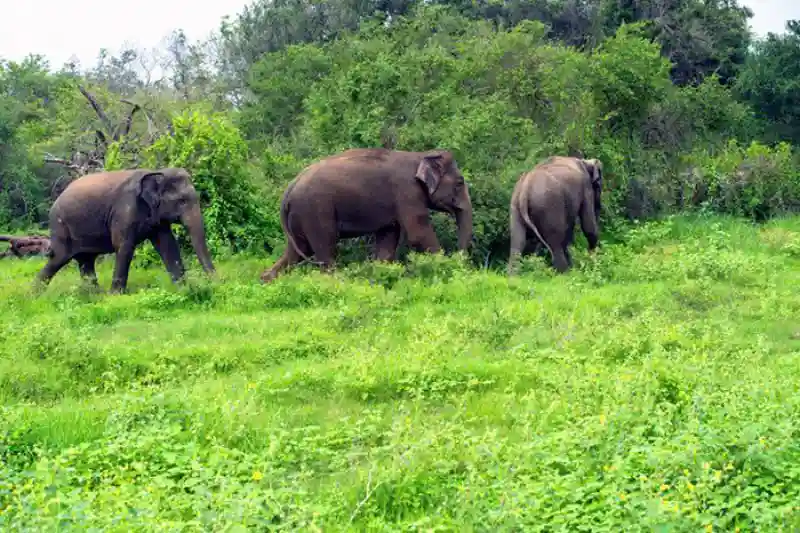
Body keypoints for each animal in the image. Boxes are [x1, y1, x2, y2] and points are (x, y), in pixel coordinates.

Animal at [34, 166, 216, 290]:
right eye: (182, 201)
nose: (215, 282)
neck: (157, 171)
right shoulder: (124, 210)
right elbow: (124, 246)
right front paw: (115, 296)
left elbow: (168, 245)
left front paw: (183, 288)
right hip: (61, 227)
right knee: (58, 258)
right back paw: (33, 297)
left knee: (86, 261)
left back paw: (94, 296)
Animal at [262, 148, 476, 282]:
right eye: (460, 183)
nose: (459, 259)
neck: (420, 155)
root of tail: (289, 188)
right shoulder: (407, 192)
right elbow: (418, 233)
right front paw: (445, 267)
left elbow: (388, 238)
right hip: (314, 210)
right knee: (325, 247)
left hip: (299, 215)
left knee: (299, 250)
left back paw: (266, 280)